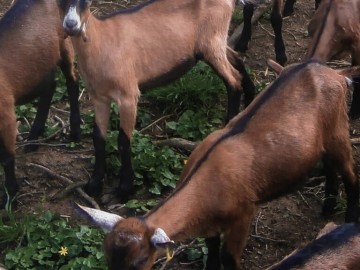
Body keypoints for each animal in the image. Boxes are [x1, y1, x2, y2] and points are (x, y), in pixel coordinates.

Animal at [0, 0, 81, 207]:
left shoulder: (6, 115)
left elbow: (7, 158)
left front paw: (11, 197)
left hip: (64, 43)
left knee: (72, 80)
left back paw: (75, 133)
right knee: (50, 86)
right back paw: (33, 139)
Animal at [57, 0, 256, 201]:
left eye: (86, 2)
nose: (71, 25)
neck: (100, 41)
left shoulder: (128, 96)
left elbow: (123, 140)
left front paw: (125, 189)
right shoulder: (99, 98)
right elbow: (98, 137)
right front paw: (94, 185)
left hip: (212, 42)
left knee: (233, 81)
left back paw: (229, 122)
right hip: (214, 44)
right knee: (236, 59)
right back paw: (250, 100)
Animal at [74, 61, 360, 270]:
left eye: (140, 260)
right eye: (107, 257)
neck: (207, 182)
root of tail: (335, 72)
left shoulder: (244, 214)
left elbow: (228, 259)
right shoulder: (209, 224)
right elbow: (211, 254)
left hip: (338, 129)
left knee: (350, 174)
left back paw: (347, 220)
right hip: (322, 141)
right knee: (330, 166)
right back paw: (327, 208)